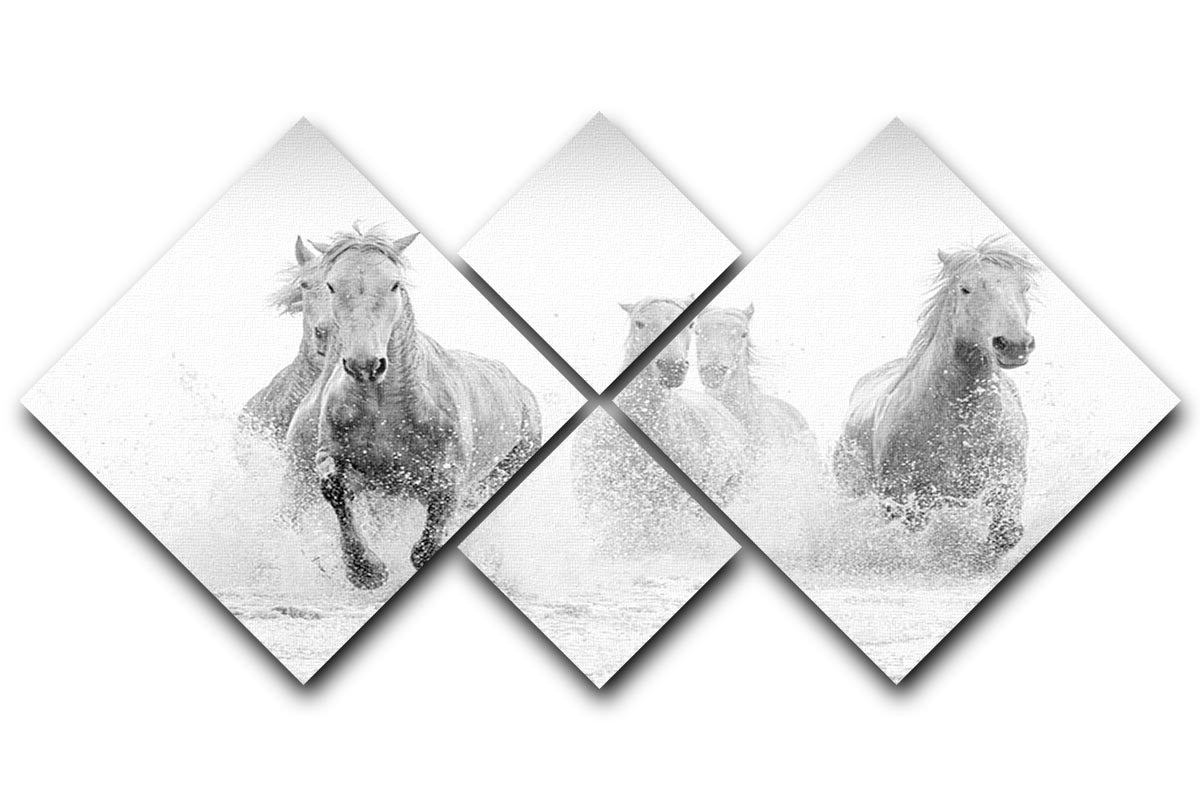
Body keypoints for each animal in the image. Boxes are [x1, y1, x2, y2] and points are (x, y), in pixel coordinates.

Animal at [286, 224, 542, 589]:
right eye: (332, 284)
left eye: (395, 284)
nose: (365, 364)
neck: (384, 409)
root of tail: (522, 391)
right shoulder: (333, 456)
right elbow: (333, 488)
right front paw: (366, 570)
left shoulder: (450, 477)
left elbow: (429, 541)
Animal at [832, 236, 1037, 555]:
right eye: (965, 288)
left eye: (1024, 287)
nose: (1014, 345)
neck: (961, 423)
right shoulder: (903, 499)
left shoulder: (1007, 476)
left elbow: (1004, 533)